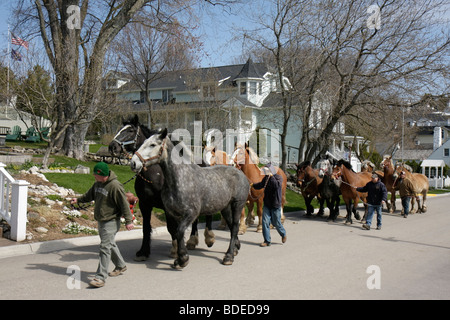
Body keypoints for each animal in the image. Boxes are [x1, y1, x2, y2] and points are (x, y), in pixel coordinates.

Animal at [108, 114, 215, 260]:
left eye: (130, 130)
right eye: (120, 128)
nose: (112, 147)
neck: (156, 175)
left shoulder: (167, 206)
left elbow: (171, 227)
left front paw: (175, 250)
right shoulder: (145, 204)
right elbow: (146, 228)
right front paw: (143, 251)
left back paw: (208, 237)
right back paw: (192, 241)